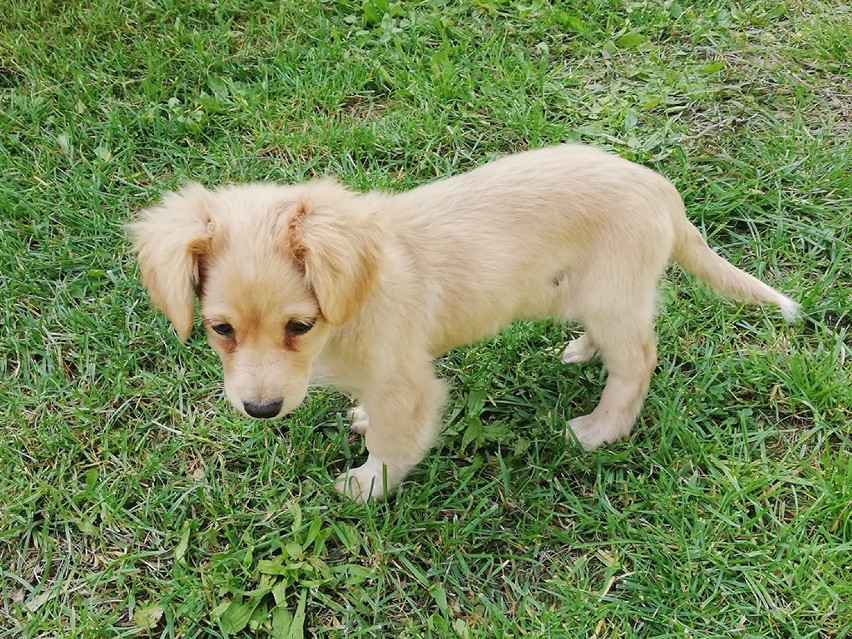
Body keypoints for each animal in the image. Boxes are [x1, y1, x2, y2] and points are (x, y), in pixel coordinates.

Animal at [128, 146, 800, 504]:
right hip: (588, 292)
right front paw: (360, 418)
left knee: (637, 361)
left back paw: (599, 429)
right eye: (220, 329)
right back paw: (581, 352)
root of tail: (662, 189)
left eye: (299, 324)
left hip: (613, 294)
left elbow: (393, 441)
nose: (261, 410)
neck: (353, 306)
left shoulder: (409, 384)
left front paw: (367, 486)